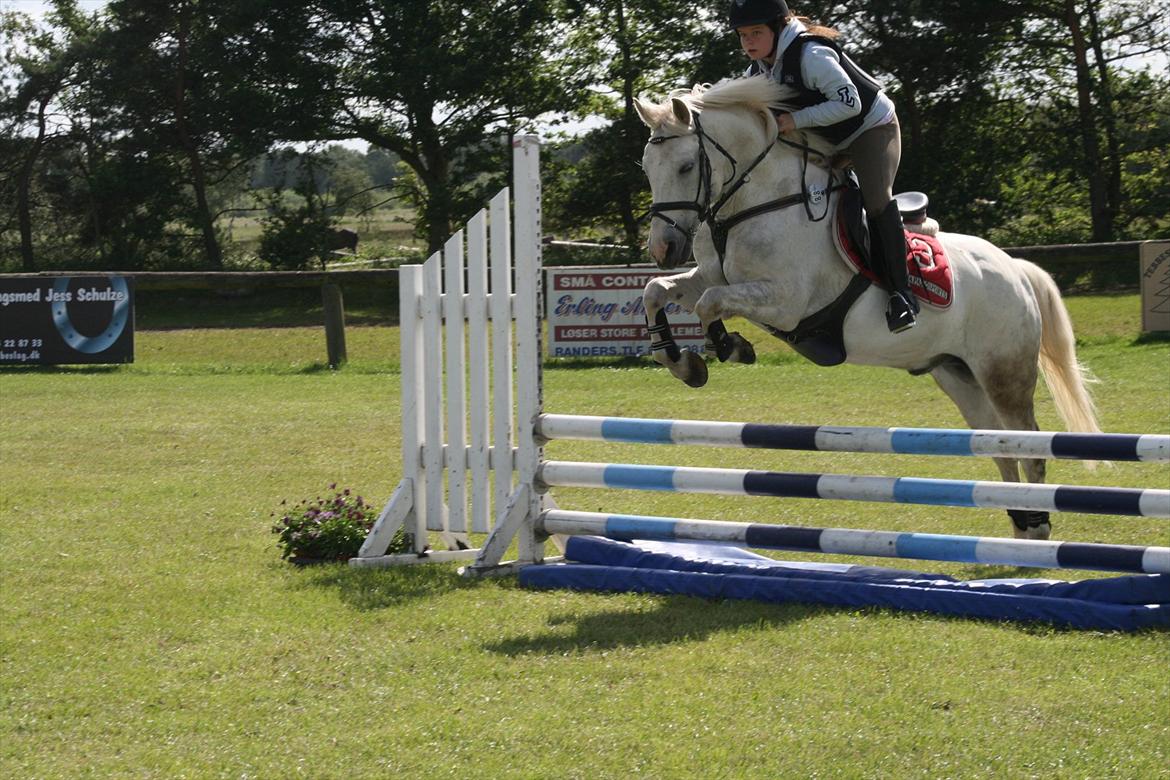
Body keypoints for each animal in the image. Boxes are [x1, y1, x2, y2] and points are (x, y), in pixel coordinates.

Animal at [631, 80, 1095, 542]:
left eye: (686, 167)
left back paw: (1036, 529)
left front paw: (728, 346)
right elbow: (657, 292)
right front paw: (683, 362)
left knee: (1028, 446)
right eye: (647, 168)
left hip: (1004, 373)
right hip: (958, 374)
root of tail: (1015, 269)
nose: (663, 249)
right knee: (998, 445)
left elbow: (710, 303)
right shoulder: (711, 276)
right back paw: (1021, 525)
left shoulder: (786, 301)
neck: (758, 203)